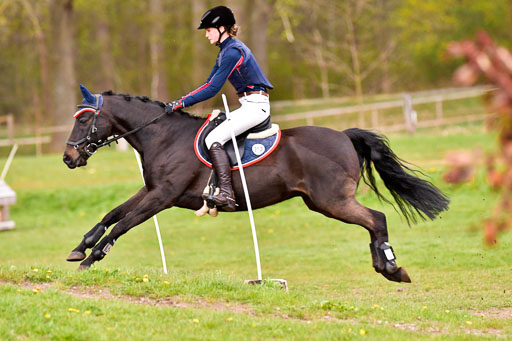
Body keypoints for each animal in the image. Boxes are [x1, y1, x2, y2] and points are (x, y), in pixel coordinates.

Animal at [63, 87, 448, 282]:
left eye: (83, 120)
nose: (68, 158)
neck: (163, 135)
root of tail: (343, 135)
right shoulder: (152, 191)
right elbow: (112, 214)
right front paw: (80, 248)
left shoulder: (163, 196)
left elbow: (123, 224)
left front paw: (91, 259)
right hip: (324, 202)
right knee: (373, 222)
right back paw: (387, 267)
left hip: (331, 201)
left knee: (376, 219)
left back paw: (391, 268)